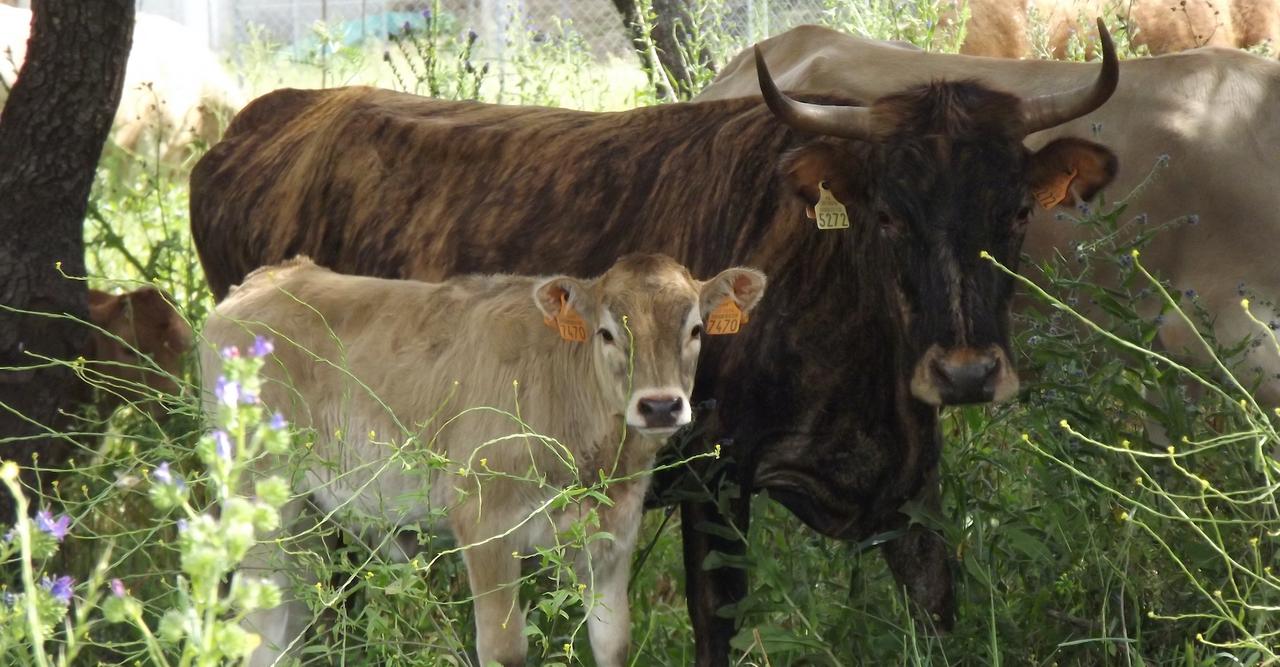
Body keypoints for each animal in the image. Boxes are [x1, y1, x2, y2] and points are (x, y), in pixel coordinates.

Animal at [201, 254, 767, 667]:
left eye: (696, 330)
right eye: (607, 332)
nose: (660, 406)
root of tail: (267, 279)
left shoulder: (614, 535)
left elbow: (613, 643)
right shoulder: (485, 526)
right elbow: (503, 648)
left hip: (304, 511)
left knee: (286, 615)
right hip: (257, 498)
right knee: (256, 624)